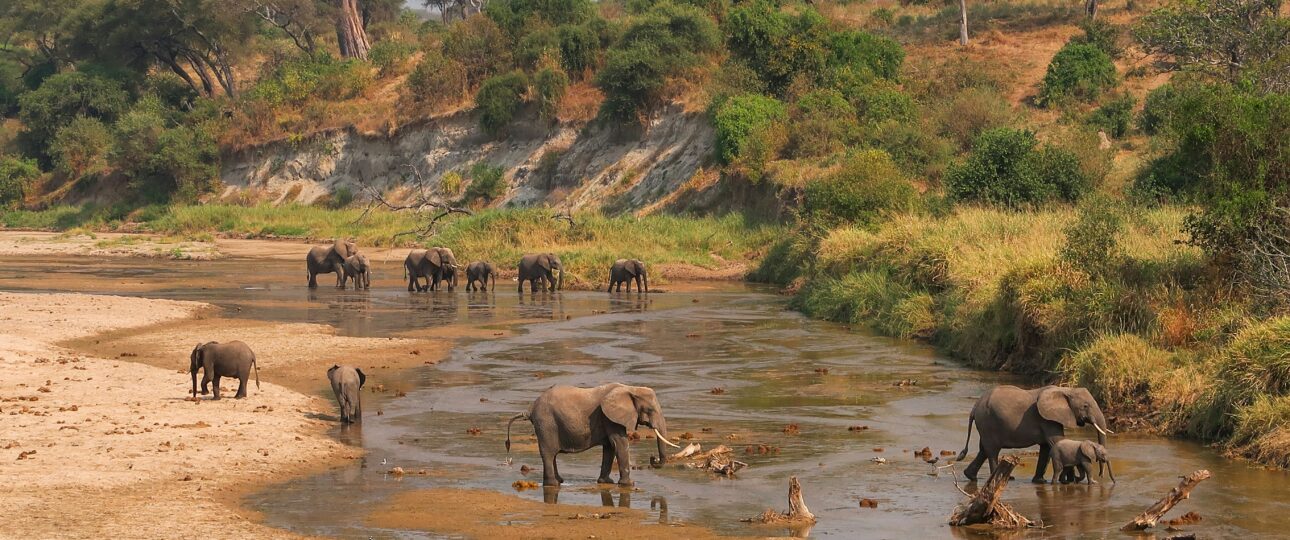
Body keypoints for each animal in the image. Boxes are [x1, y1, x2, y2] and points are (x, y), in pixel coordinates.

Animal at [505, 383, 681, 487]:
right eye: (650, 410)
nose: (652, 458)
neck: (630, 388)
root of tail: (530, 409)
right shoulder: (610, 418)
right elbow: (620, 443)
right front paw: (629, 484)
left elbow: (610, 447)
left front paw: (606, 482)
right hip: (546, 423)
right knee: (548, 454)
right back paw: (553, 484)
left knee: (552, 455)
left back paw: (559, 481)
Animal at [956, 385, 1112, 483]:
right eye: (1085, 406)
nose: (1101, 475)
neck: (1065, 389)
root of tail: (975, 406)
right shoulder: (1047, 419)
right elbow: (1056, 441)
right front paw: (1070, 481)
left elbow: (1046, 447)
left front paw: (1040, 481)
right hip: (988, 422)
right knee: (992, 451)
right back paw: (1001, 479)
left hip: (985, 425)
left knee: (983, 450)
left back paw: (971, 476)